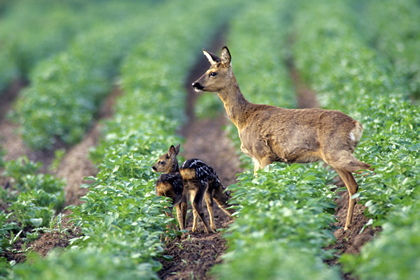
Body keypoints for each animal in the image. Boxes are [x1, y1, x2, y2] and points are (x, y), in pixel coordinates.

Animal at [192, 46, 372, 230]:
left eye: (213, 73)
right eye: (207, 70)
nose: (195, 84)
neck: (243, 118)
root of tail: (356, 125)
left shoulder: (263, 154)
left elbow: (263, 185)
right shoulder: (255, 159)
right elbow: (255, 185)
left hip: (336, 152)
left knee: (369, 168)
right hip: (335, 157)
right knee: (353, 186)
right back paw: (347, 226)